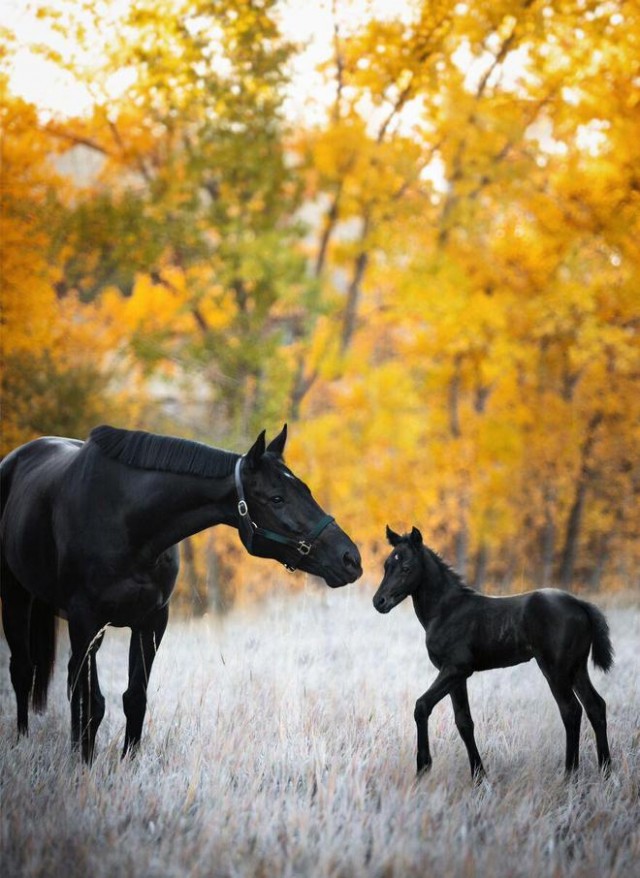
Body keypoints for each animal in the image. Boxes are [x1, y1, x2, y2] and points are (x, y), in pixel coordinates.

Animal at [0, 426, 360, 764]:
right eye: (276, 499)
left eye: (306, 490)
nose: (350, 558)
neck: (126, 519)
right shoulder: (86, 621)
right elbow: (92, 703)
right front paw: (85, 768)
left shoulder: (151, 621)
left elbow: (134, 698)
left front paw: (127, 763)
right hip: (17, 598)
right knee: (24, 671)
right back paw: (23, 743)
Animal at [372, 528, 612, 784]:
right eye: (387, 565)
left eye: (406, 567)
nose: (379, 602)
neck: (446, 611)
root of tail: (580, 603)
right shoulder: (456, 676)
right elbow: (464, 722)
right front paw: (479, 776)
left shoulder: (456, 668)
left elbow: (422, 706)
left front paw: (423, 768)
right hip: (576, 668)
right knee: (595, 706)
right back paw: (606, 771)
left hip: (555, 669)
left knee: (571, 710)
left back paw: (570, 775)